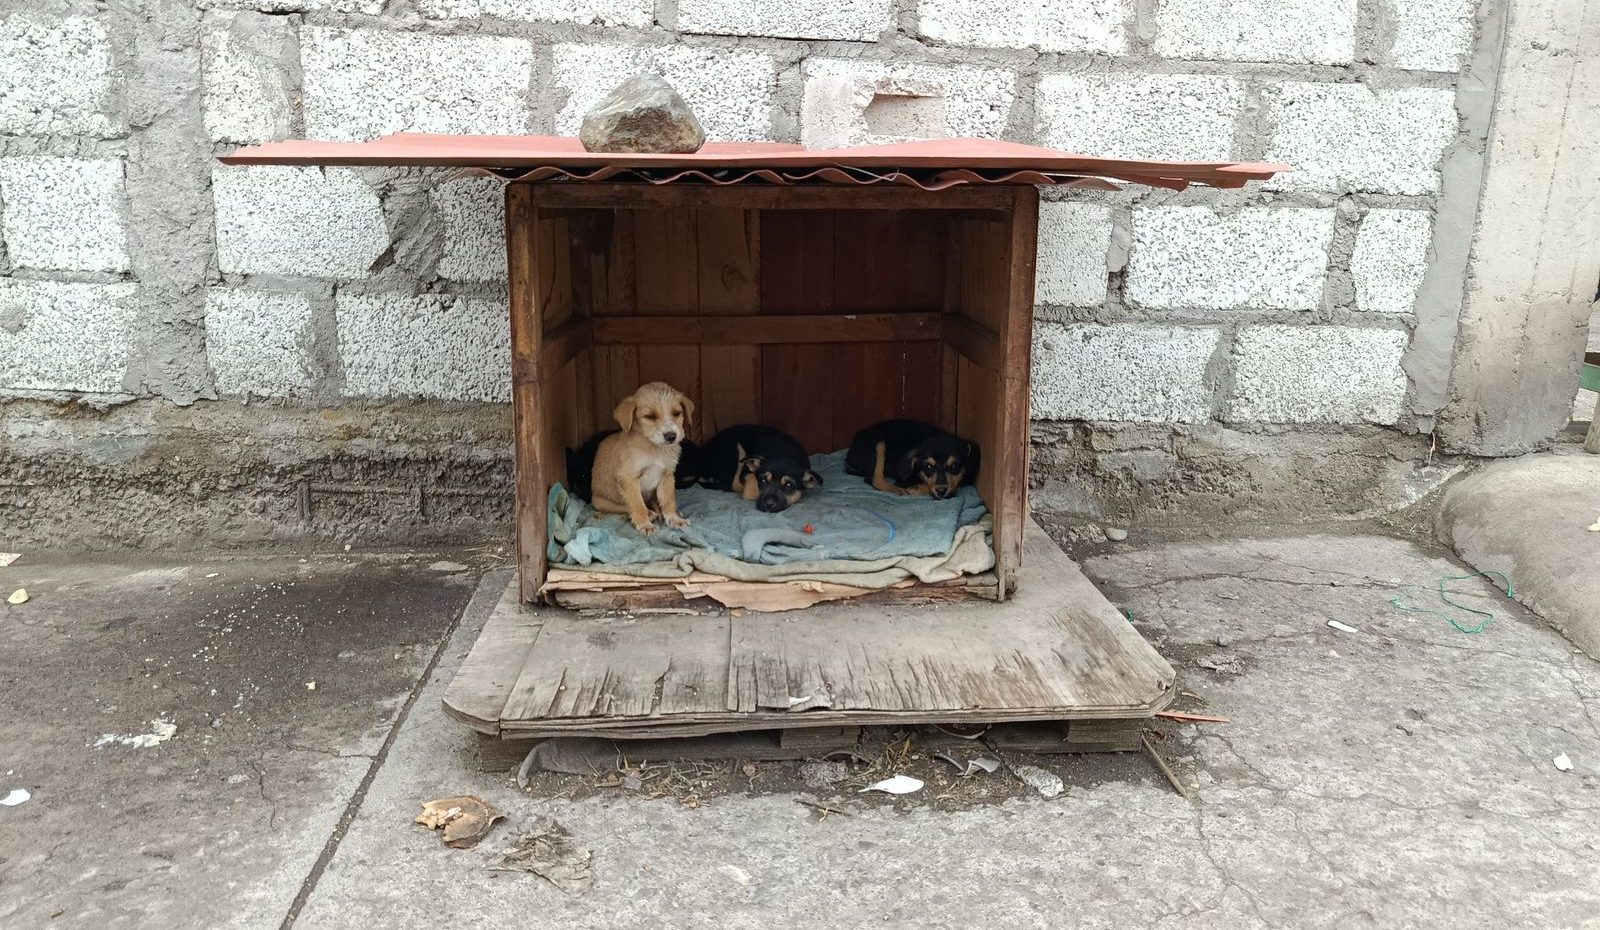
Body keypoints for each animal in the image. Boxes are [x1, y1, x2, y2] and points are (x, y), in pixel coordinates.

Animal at [588, 382, 694, 535]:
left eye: (677, 413)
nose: (671, 436)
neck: (654, 448)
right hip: (600, 501)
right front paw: (644, 524)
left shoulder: (666, 475)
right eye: (649, 416)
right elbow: (637, 504)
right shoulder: (629, 478)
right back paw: (650, 513)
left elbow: (668, 500)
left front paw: (674, 518)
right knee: (626, 507)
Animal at [845, 419, 979, 500]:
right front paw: (915, 489)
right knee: (874, 479)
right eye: (928, 467)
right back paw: (896, 489)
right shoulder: (904, 480)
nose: (941, 491)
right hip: (877, 440)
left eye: (955, 466)